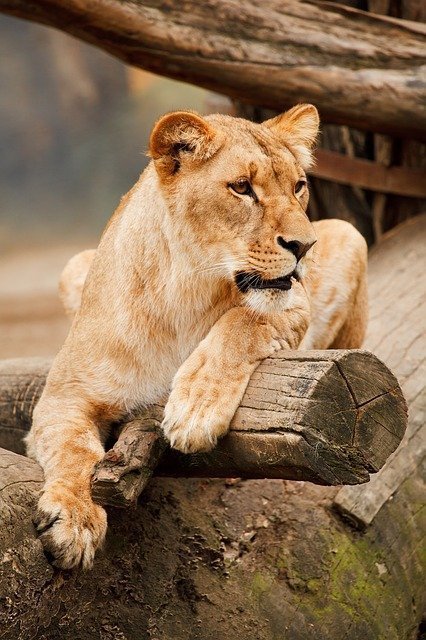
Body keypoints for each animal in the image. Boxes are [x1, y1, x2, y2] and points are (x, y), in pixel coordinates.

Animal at [26, 104, 368, 569]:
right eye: (242, 187)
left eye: (298, 187)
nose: (305, 246)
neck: (185, 291)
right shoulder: (65, 395)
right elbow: (72, 449)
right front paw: (74, 520)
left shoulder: (295, 304)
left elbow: (242, 322)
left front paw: (194, 410)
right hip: (74, 265)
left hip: (351, 235)